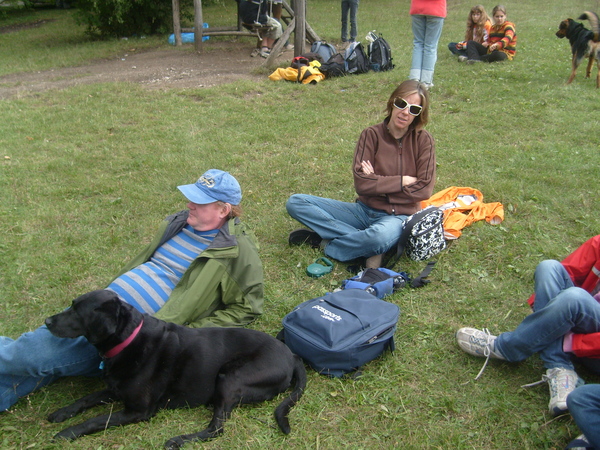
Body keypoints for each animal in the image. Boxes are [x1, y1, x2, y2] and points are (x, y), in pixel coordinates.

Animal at [44, 290, 306, 449]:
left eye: (77, 311)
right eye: (71, 306)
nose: (46, 322)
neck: (129, 339)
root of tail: (292, 355)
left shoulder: (138, 410)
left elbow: (97, 419)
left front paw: (67, 433)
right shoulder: (115, 388)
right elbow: (87, 399)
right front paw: (62, 413)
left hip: (230, 377)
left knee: (216, 428)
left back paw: (179, 440)